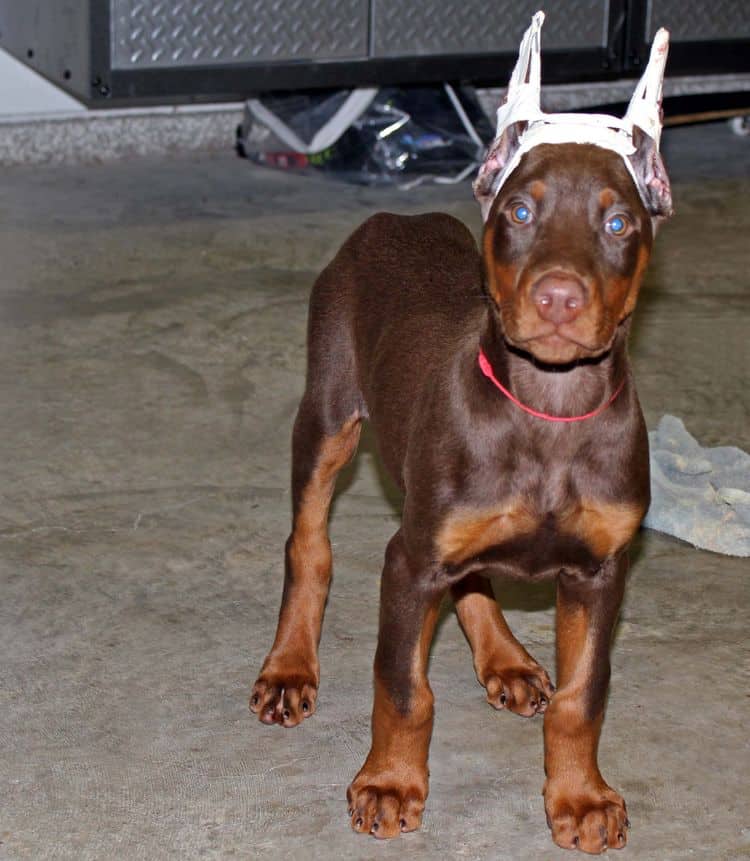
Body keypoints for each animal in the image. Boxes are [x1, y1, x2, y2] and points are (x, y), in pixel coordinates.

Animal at [251, 131, 676, 848]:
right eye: (521, 213)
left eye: (618, 223)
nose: (558, 298)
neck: (548, 409)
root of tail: (395, 218)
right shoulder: (412, 559)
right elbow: (402, 687)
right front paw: (390, 783)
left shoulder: (600, 570)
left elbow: (583, 694)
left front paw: (581, 797)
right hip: (329, 412)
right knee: (307, 544)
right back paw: (289, 667)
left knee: (472, 575)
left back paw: (505, 660)